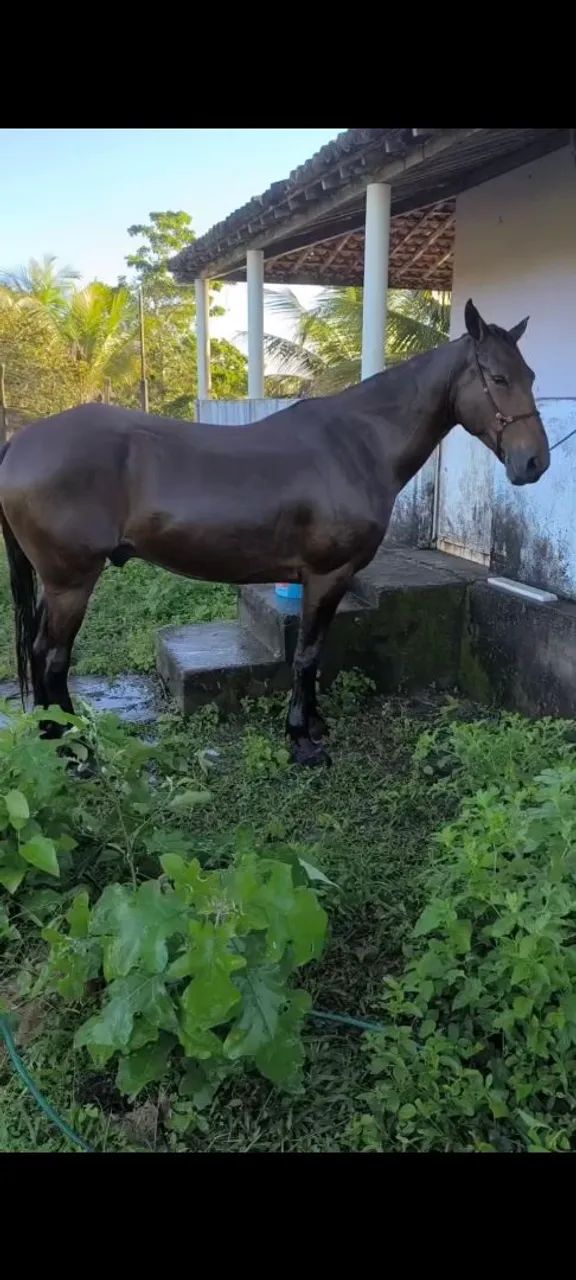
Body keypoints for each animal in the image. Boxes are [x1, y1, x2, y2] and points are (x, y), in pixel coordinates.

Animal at [0, 299, 550, 767]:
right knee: (53, 658)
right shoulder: (327, 575)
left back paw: (55, 738)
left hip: (57, 582)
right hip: (72, 581)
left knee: (39, 652)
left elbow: (315, 653)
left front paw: (316, 724)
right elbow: (306, 655)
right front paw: (302, 740)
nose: (535, 462)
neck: (358, 443)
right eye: (498, 377)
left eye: (531, 375)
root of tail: (20, 443)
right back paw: (75, 752)